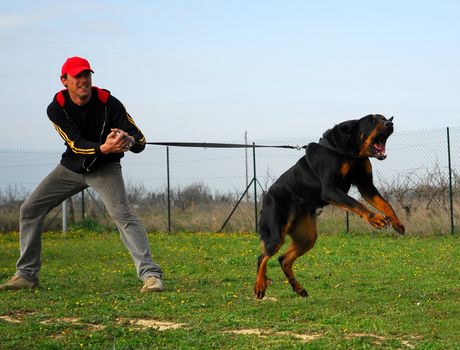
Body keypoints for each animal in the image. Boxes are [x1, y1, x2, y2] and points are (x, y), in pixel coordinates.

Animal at [255, 114, 406, 298]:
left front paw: (397, 222)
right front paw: (375, 219)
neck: (349, 153)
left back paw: (298, 289)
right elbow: (356, 203)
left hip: (307, 237)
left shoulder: (366, 186)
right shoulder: (330, 190)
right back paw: (260, 286)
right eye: (371, 120)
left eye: (384, 118)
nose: (390, 123)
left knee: (283, 259)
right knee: (262, 257)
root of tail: (265, 197)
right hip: (276, 233)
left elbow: (385, 204)